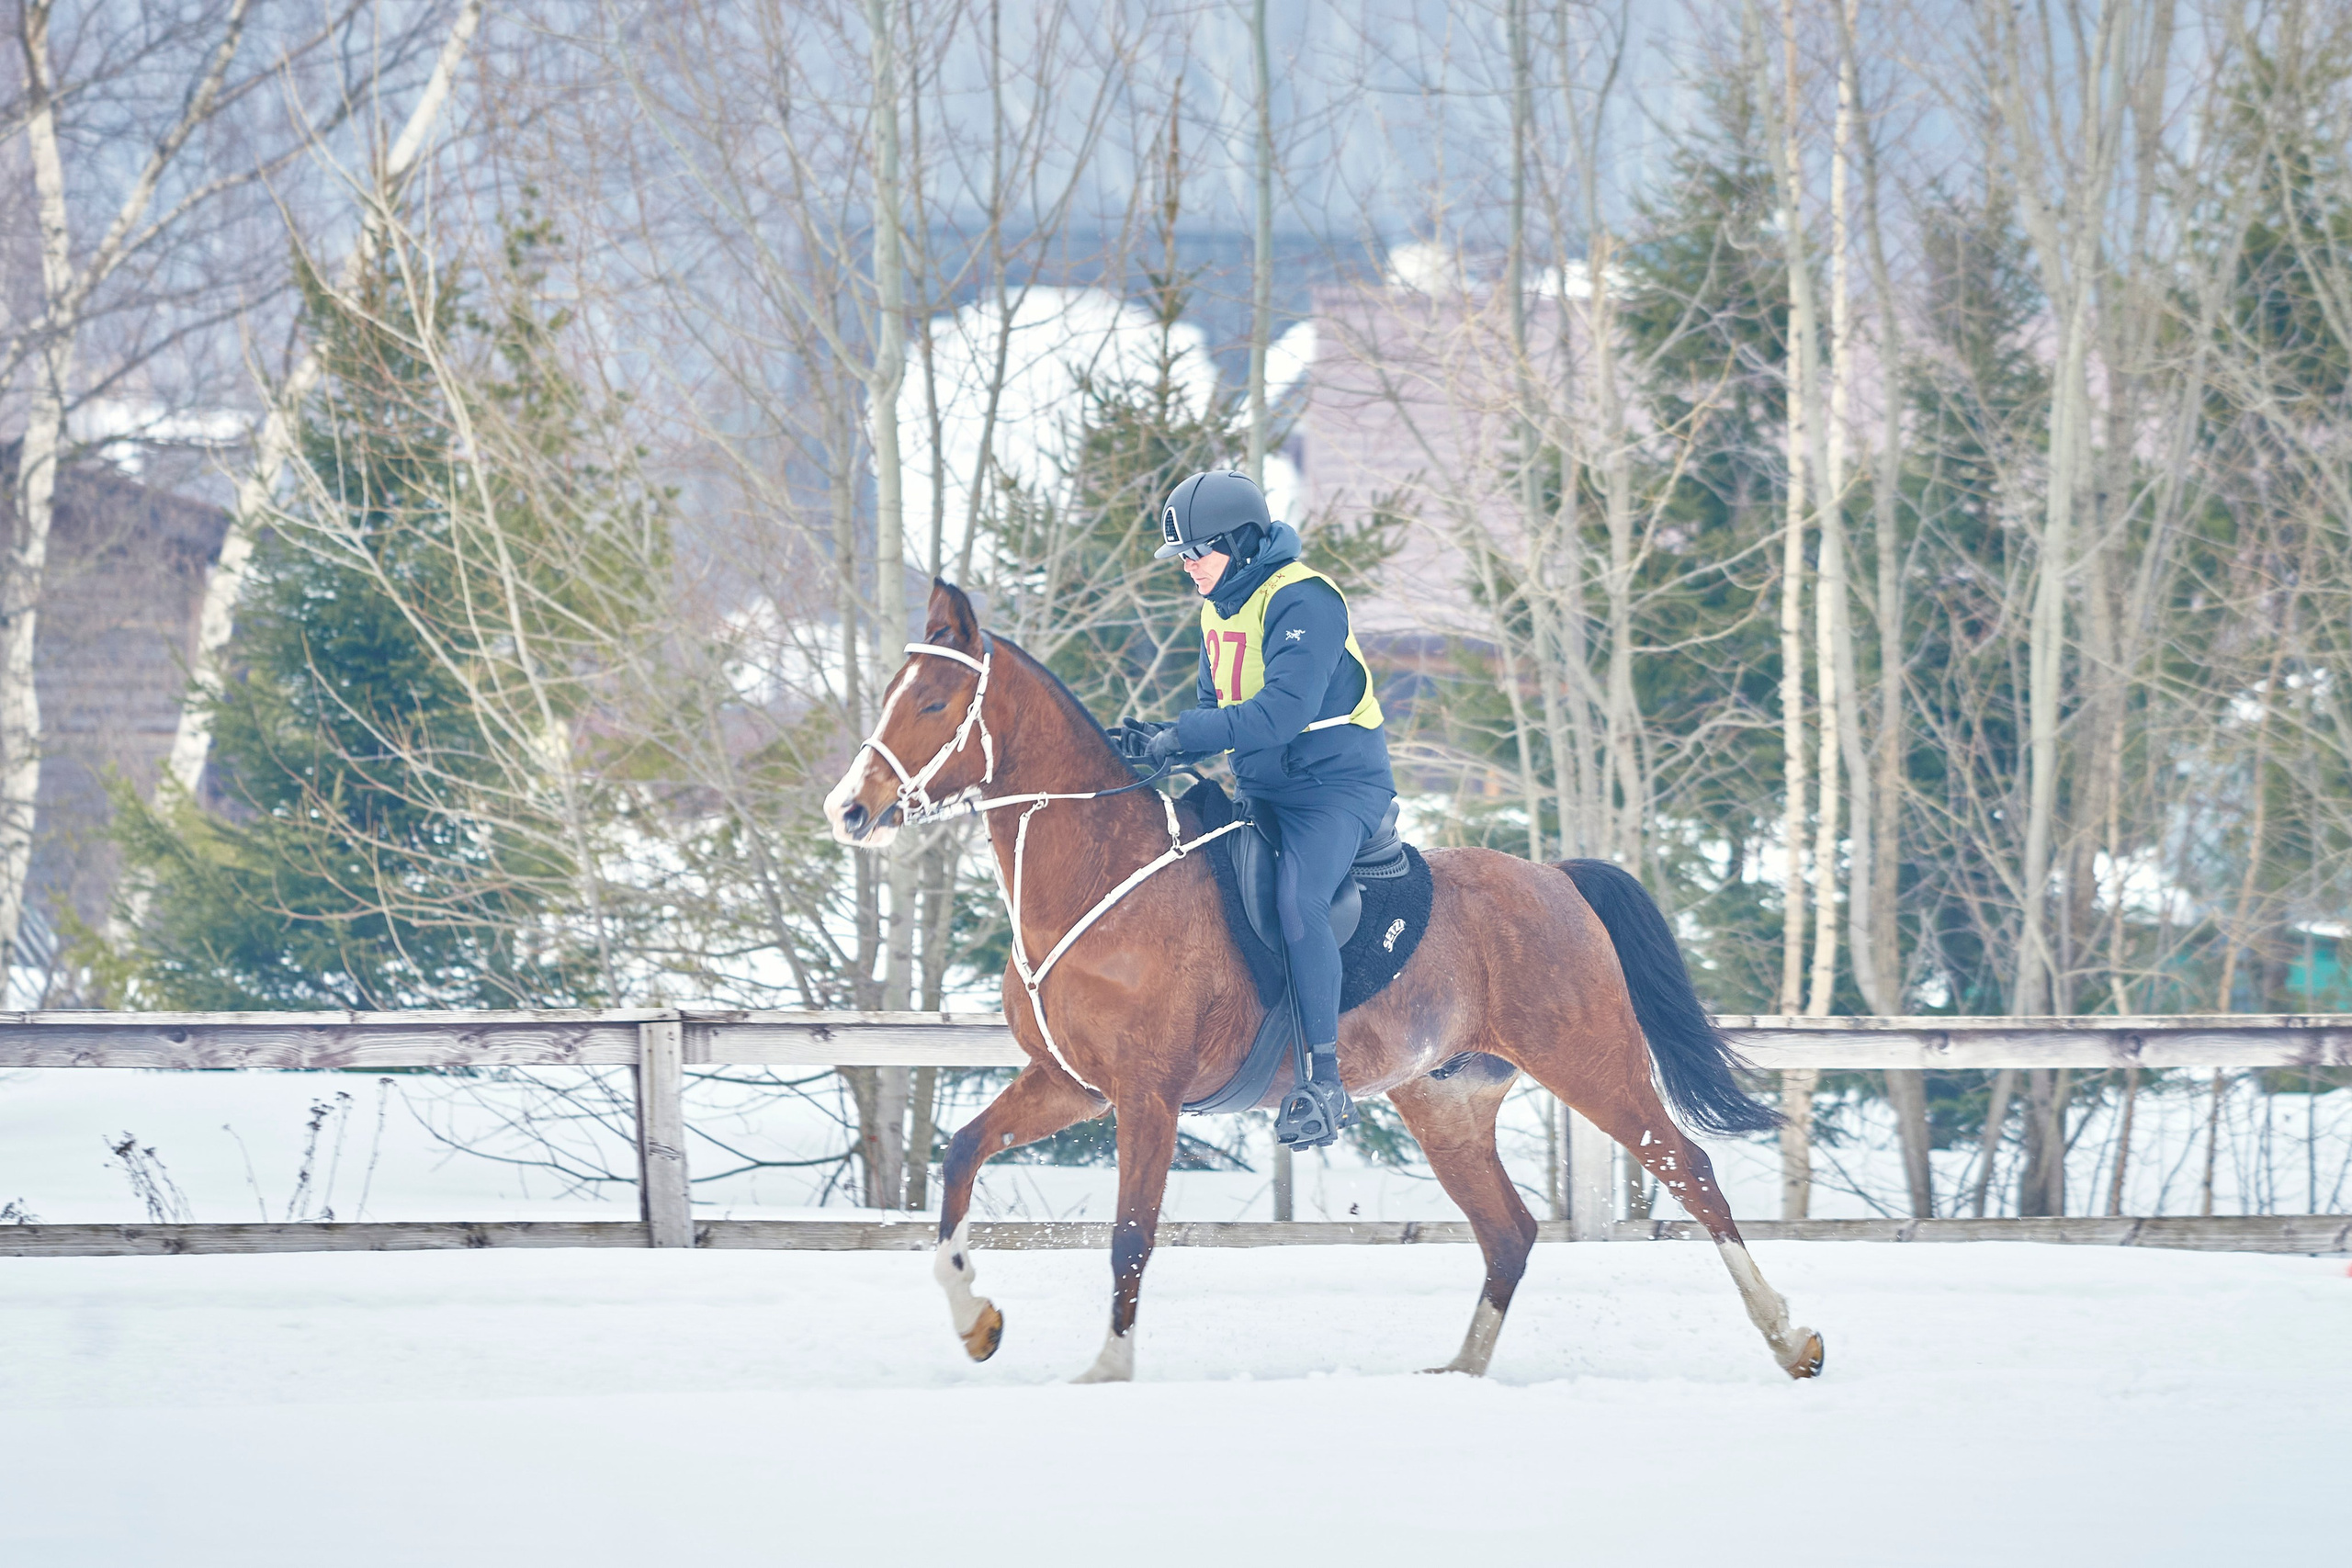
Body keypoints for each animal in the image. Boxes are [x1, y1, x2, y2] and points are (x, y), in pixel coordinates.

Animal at [824, 580, 1824, 1384]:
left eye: (934, 699)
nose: (849, 810)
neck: (1100, 872)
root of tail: (1555, 878)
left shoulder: (1147, 1096)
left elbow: (1130, 1236)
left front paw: (1106, 1370)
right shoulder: (1071, 1085)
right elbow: (960, 1155)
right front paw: (976, 1320)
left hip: (1592, 1063)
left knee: (1691, 1173)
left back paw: (1790, 1336)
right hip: (1445, 1103)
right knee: (1510, 1232)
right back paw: (1460, 1371)